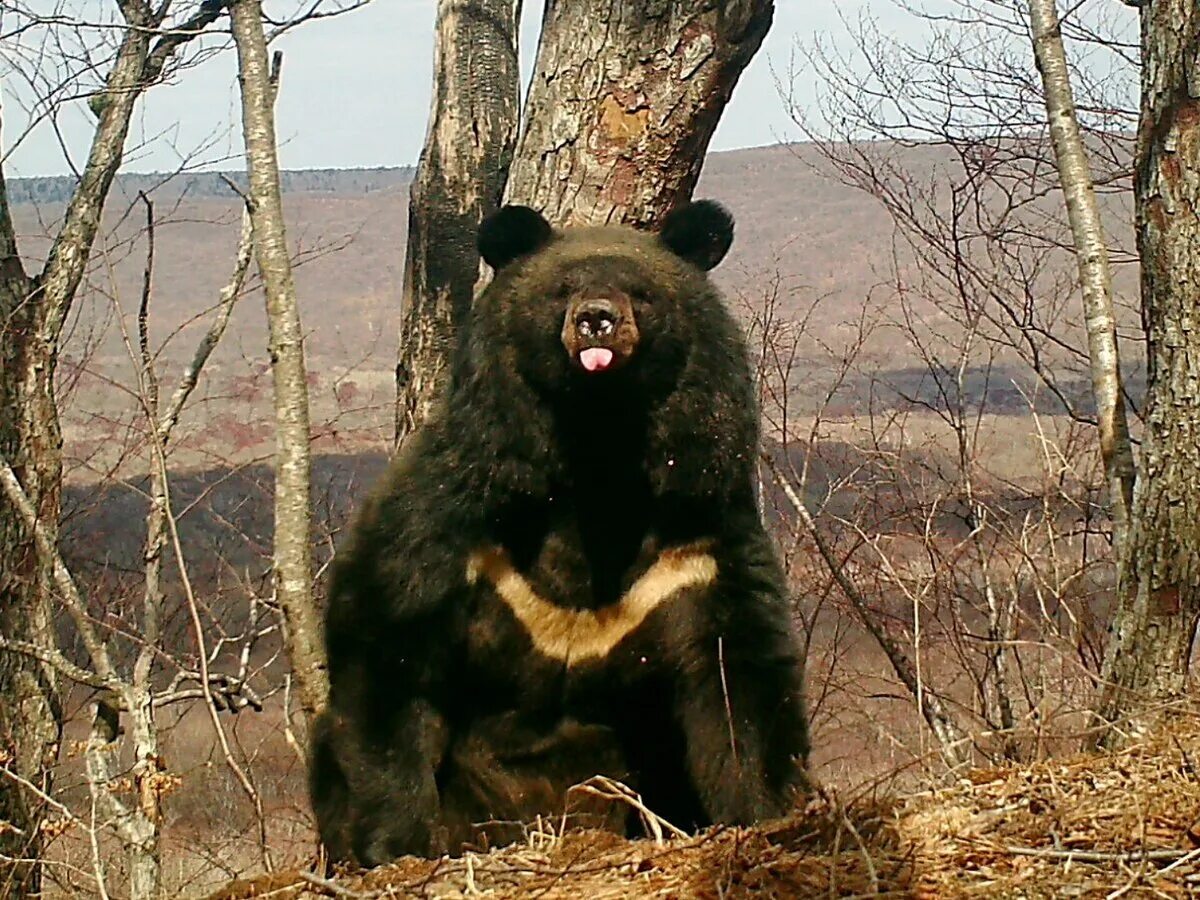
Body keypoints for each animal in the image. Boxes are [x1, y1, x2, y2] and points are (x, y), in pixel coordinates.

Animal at [309, 202, 816, 868]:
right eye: (561, 290)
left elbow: (738, 673)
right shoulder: (455, 515)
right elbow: (392, 640)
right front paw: (398, 844)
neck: (596, 446)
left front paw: (768, 810)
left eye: (641, 292)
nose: (596, 319)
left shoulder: (695, 544)